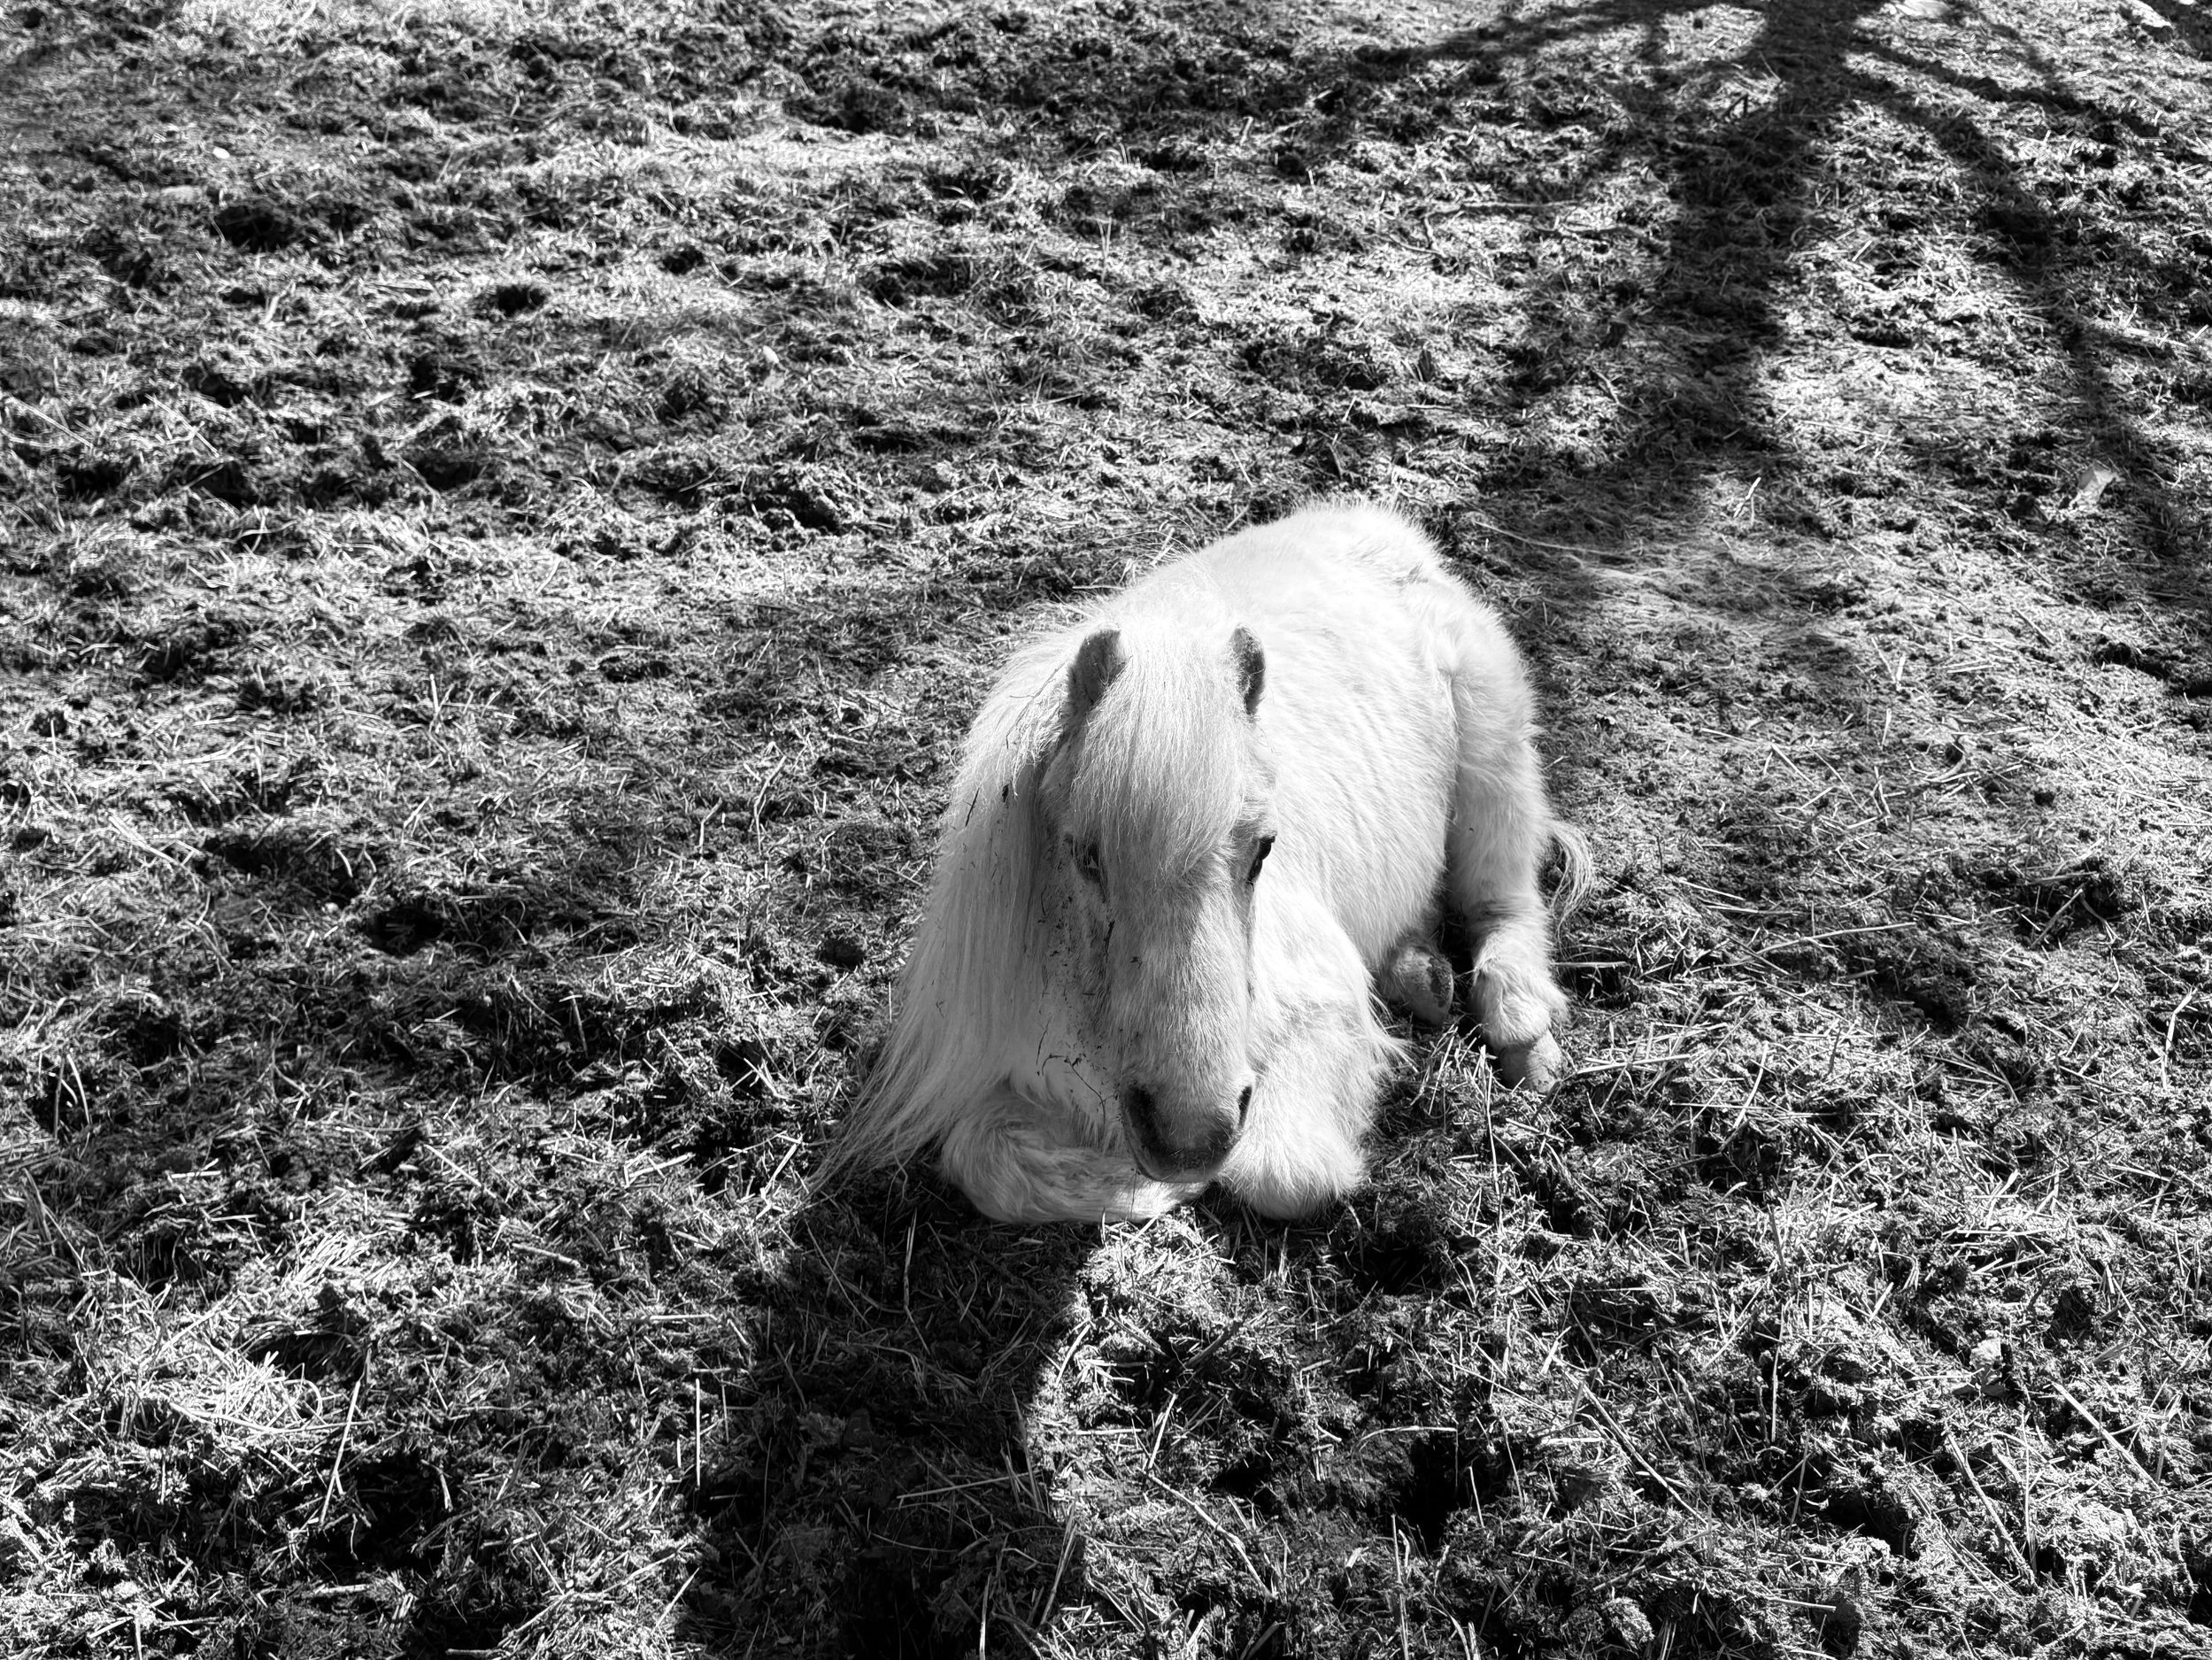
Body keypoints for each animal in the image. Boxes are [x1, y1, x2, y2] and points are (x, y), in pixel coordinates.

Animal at [837, 500, 1587, 1224]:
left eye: (1263, 849)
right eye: (1084, 855)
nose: (1188, 1137)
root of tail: (1387, 533)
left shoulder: (1316, 1013)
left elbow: (1283, 1172)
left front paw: (1183, 1186)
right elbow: (986, 1161)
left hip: (1493, 769)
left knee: (1503, 904)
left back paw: (1525, 1038)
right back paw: (1420, 974)